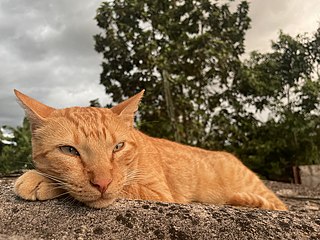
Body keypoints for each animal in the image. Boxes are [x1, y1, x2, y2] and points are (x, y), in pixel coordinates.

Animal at [13, 89, 288, 210]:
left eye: (118, 147)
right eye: (69, 151)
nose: (102, 183)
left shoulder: (160, 193)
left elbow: (125, 186)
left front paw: (41, 180)